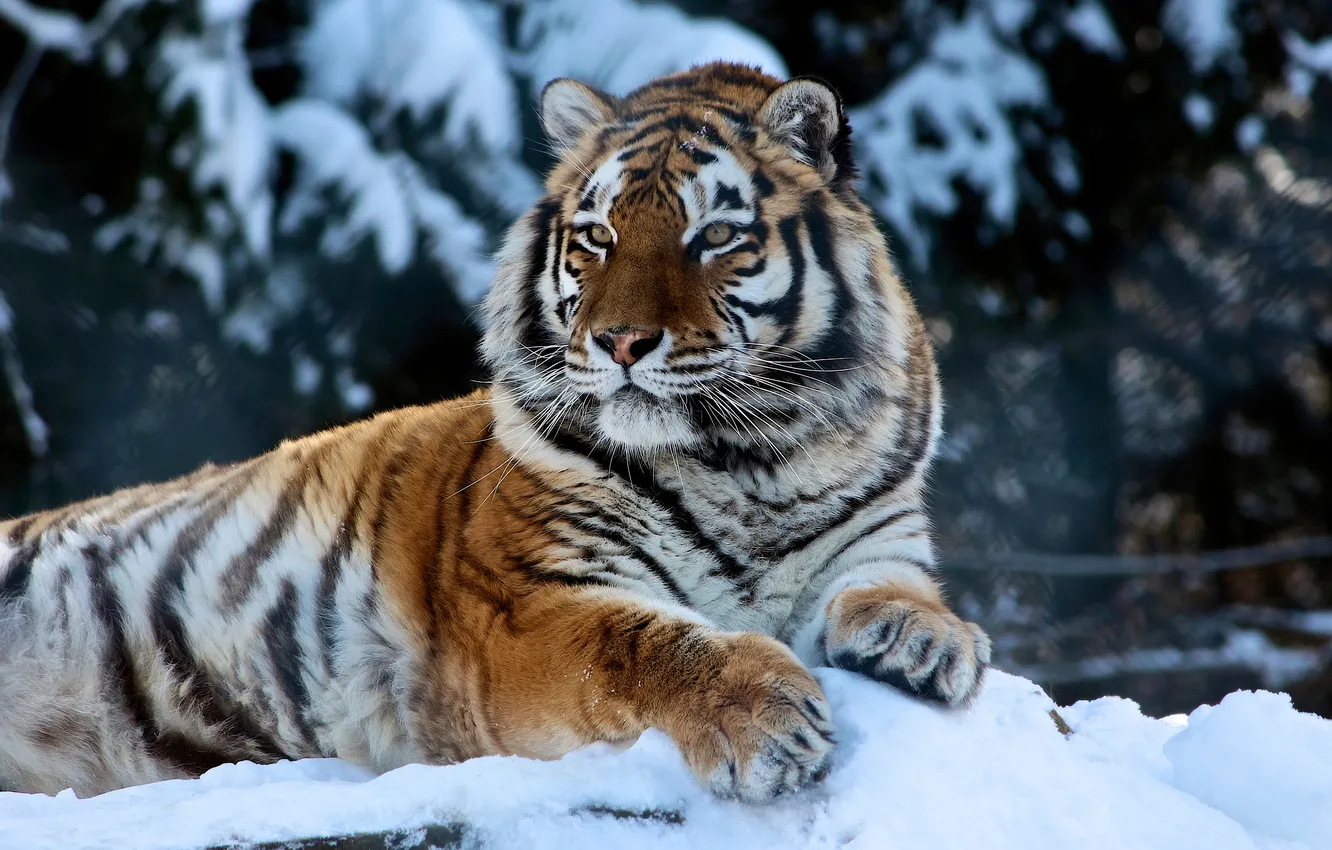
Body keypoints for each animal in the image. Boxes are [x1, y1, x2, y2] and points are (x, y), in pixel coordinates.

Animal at [0, 61, 990, 803]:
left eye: (713, 236)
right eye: (596, 236)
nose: (620, 341)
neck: (751, 458)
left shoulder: (878, 536)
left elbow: (899, 587)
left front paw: (925, 641)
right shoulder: (525, 605)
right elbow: (645, 645)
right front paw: (766, 715)